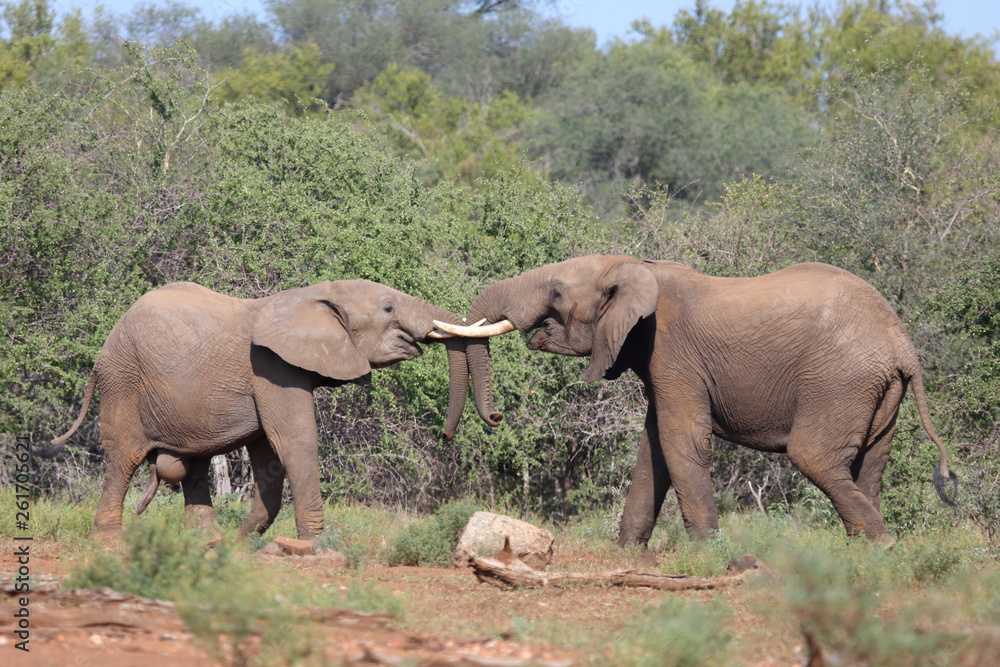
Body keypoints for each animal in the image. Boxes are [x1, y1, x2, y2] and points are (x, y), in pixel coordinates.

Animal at [51, 279, 472, 541]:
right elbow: (294, 441)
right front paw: (316, 546)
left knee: (194, 466)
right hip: (122, 381)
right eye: (388, 308)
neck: (315, 294)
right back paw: (109, 544)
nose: (447, 435)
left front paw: (239, 543)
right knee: (123, 459)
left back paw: (208, 542)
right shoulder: (272, 367)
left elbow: (268, 454)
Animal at [436, 254, 958, 549]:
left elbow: (680, 439)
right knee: (869, 466)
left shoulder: (671, 352)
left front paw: (708, 554)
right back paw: (863, 556)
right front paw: (627, 553)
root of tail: (902, 344)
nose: (495, 417)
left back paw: (882, 548)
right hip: (878, 392)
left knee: (814, 457)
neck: (631, 266)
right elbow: (653, 450)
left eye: (557, 291)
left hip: (839, 380)